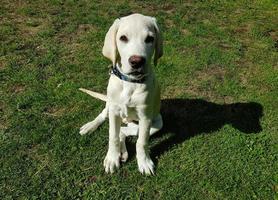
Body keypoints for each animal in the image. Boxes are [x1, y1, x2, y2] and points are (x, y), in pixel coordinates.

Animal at [79, 12, 163, 175]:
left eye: (150, 39)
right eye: (123, 38)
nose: (136, 61)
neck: (131, 82)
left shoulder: (145, 117)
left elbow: (141, 142)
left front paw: (144, 162)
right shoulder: (114, 111)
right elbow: (112, 136)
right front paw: (112, 159)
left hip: (156, 122)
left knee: (124, 132)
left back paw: (123, 152)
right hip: (110, 104)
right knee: (105, 116)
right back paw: (90, 126)